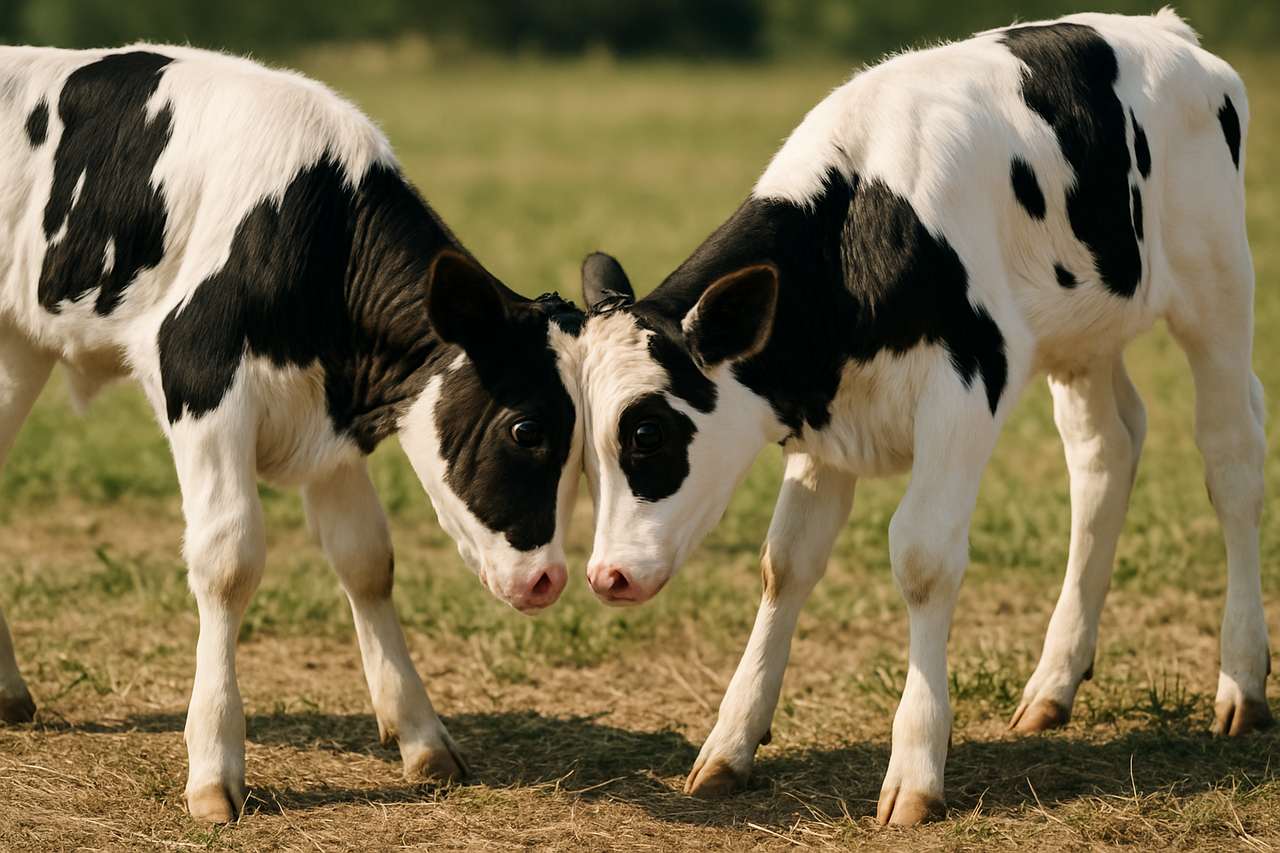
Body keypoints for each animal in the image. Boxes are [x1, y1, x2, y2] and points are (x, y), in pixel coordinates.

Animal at [0, 45, 586, 822]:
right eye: (526, 428)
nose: (550, 578)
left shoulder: (328, 425)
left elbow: (366, 557)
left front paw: (422, 735)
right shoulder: (200, 375)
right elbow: (229, 560)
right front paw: (214, 768)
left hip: (16, 349)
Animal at [576, 10, 1272, 825]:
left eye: (648, 431)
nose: (607, 576)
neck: (859, 228)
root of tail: (1166, 32)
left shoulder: (967, 387)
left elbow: (922, 557)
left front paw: (915, 767)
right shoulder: (819, 423)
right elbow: (787, 561)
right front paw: (730, 743)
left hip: (1217, 286)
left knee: (1231, 455)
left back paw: (1241, 681)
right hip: (1082, 335)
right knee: (1106, 451)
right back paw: (1054, 682)